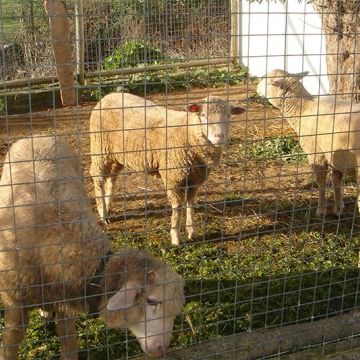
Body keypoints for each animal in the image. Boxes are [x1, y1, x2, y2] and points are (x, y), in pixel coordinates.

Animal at [0, 136, 184, 360]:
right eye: (152, 301)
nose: (161, 349)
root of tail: (37, 136)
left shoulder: (66, 302)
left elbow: (69, 343)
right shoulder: (14, 302)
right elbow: (11, 345)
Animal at [89, 92, 245, 245]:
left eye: (229, 115)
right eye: (203, 115)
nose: (219, 137)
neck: (188, 132)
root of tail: (108, 96)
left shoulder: (194, 179)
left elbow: (190, 204)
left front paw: (192, 231)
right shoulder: (173, 177)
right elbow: (177, 208)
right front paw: (175, 237)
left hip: (118, 155)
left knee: (111, 178)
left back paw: (108, 206)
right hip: (100, 149)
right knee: (98, 179)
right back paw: (103, 213)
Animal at [258, 69, 360, 217]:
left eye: (267, 82)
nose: (256, 88)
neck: (303, 109)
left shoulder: (316, 151)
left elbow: (321, 182)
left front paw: (321, 210)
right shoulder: (333, 154)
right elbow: (336, 181)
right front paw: (338, 208)